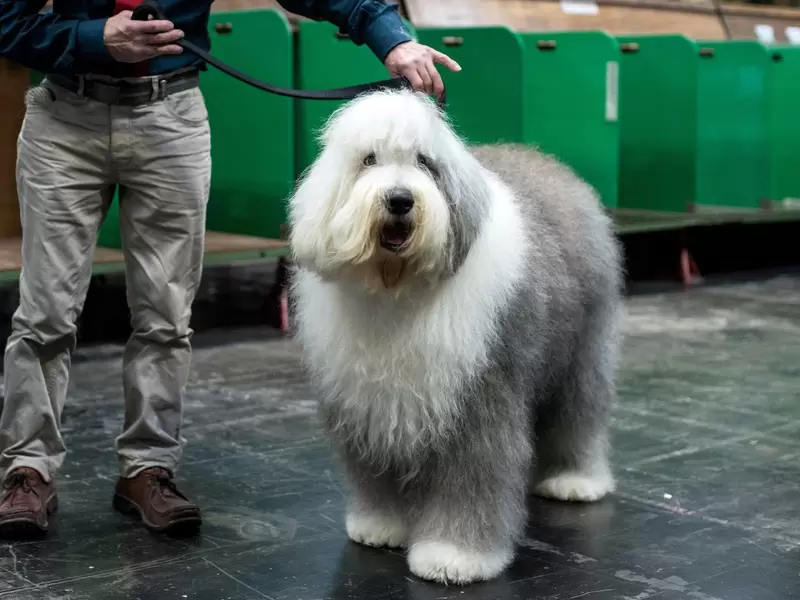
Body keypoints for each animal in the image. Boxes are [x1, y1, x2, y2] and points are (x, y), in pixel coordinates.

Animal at [288, 90, 624, 584]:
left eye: (425, 163)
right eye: (369, 160)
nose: (400, 199)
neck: (398, 288)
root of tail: (549, 164)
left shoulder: (477, 398)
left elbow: (472, 476)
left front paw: (455, 557)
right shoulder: (369, 404)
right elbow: (374, 473)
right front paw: (380, 526)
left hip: (580, 347)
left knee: (578, 411)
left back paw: (575, 481)